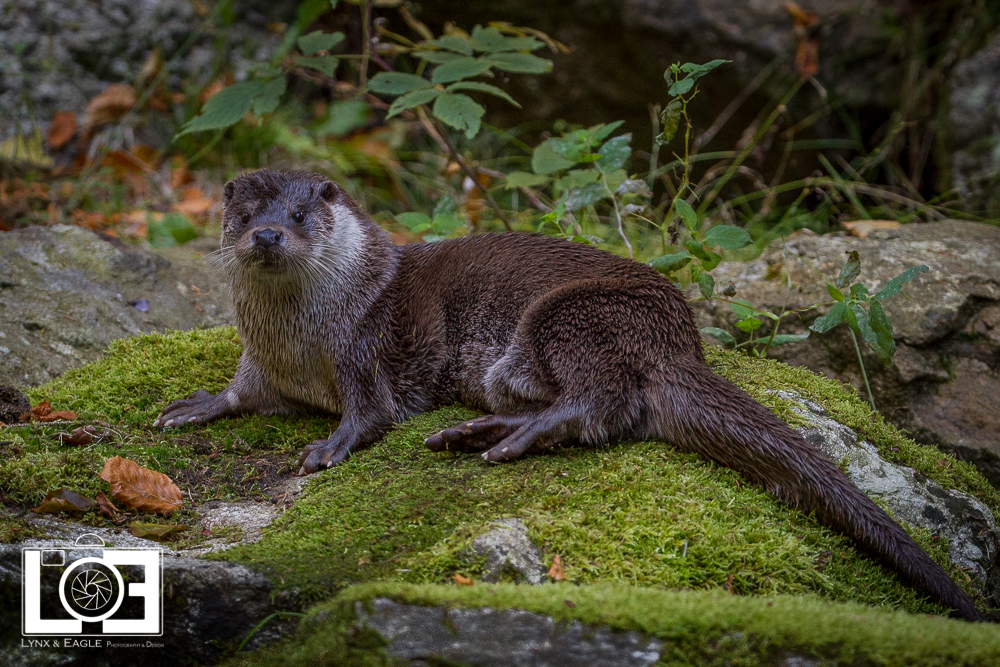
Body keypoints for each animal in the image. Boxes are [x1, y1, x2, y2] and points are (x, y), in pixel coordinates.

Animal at [154, 169, 983, 621]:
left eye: (300, 214)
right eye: (243, 214)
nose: (266, 235)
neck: (303, 339)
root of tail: (677, 337)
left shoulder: (365, 349)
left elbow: (372, 413)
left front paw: (330, 445)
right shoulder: (264, 365)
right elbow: (241, 392)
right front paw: (194, 404)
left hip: (571, 316)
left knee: (603, 404)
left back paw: (502, 437)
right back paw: (481, 431)